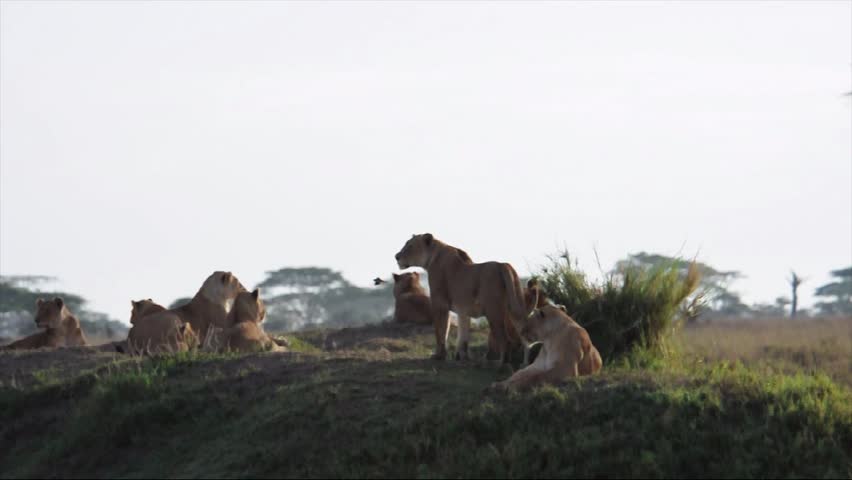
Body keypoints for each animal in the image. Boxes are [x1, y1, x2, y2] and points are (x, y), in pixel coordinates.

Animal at [395, 233, 529, 363]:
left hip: (493, 311)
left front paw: (439, 356)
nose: (396, 256)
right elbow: (462, 335)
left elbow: (441, 331)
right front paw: (462, 357)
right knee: (526, 338)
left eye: (410, 246)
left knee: (506, 340)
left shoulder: (440, 304)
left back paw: (501, 364)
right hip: (517, 310)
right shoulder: (463, 310)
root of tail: (502, 265)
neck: (434, 256)